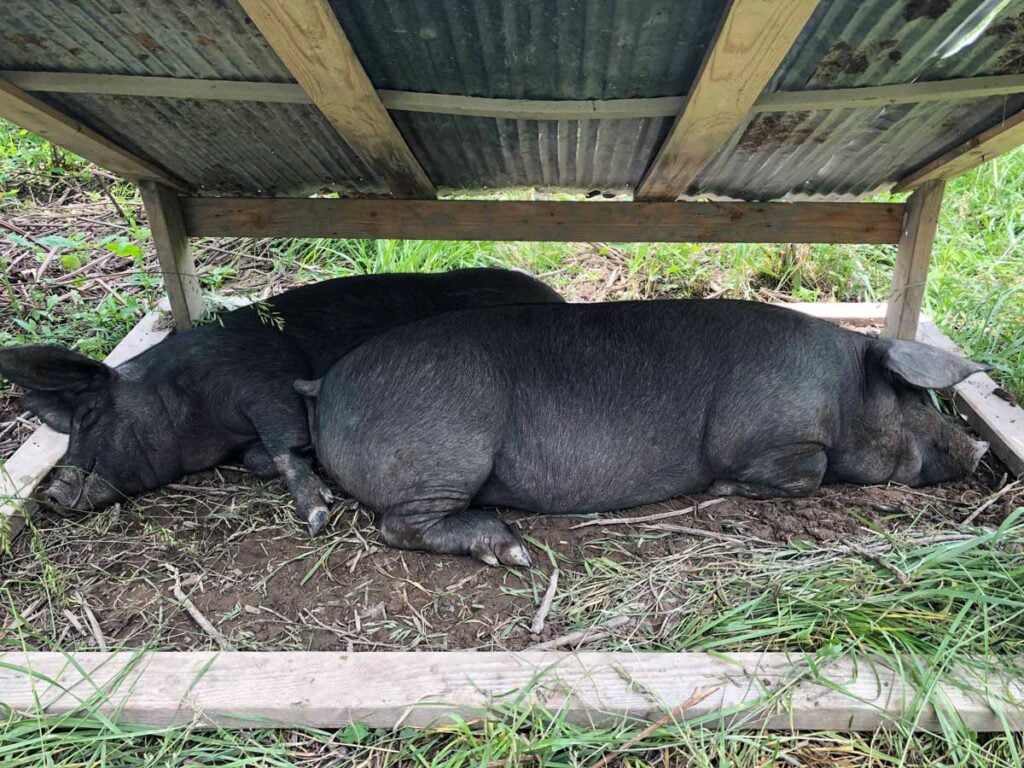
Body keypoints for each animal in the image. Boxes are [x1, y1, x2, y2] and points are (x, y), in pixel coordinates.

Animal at [0, 270, 561, 536]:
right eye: (70, 425)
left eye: (92, 414)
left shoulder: (264, 378)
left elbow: (283, 440)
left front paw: (317, 513)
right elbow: (261, 457)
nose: (53, 492)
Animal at [299, 299, 987, 565]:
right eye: (910, 393)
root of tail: (326, 384)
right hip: (448, 444)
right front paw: (725, 492)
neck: (841, 392)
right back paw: (510, 548)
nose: (978, 446)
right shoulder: (768, 436)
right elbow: (808, 471)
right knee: (398, 523)